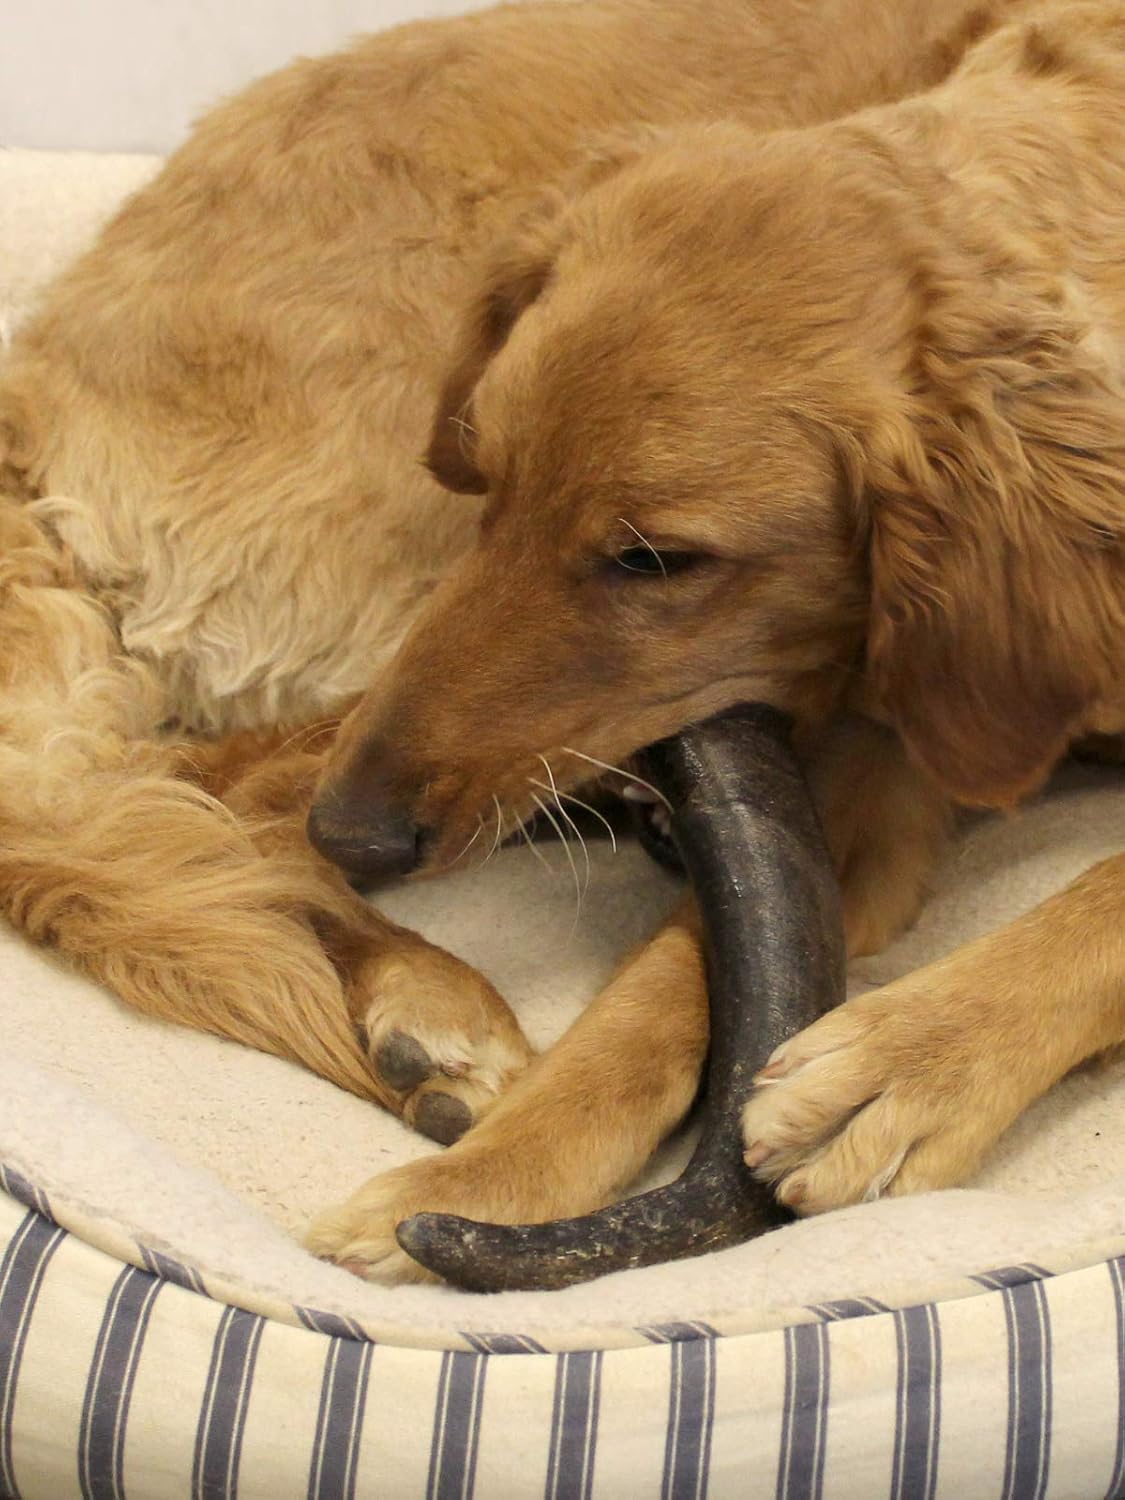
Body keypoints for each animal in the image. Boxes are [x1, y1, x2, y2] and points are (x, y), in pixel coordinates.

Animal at [0, 0, 1092, 1282]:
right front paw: (494, 1179)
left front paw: (915, 1065)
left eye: (657, 559)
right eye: (490, 470)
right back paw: (423, 1000)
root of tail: (37, 370)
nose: (355, 831)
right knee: (207, 792)